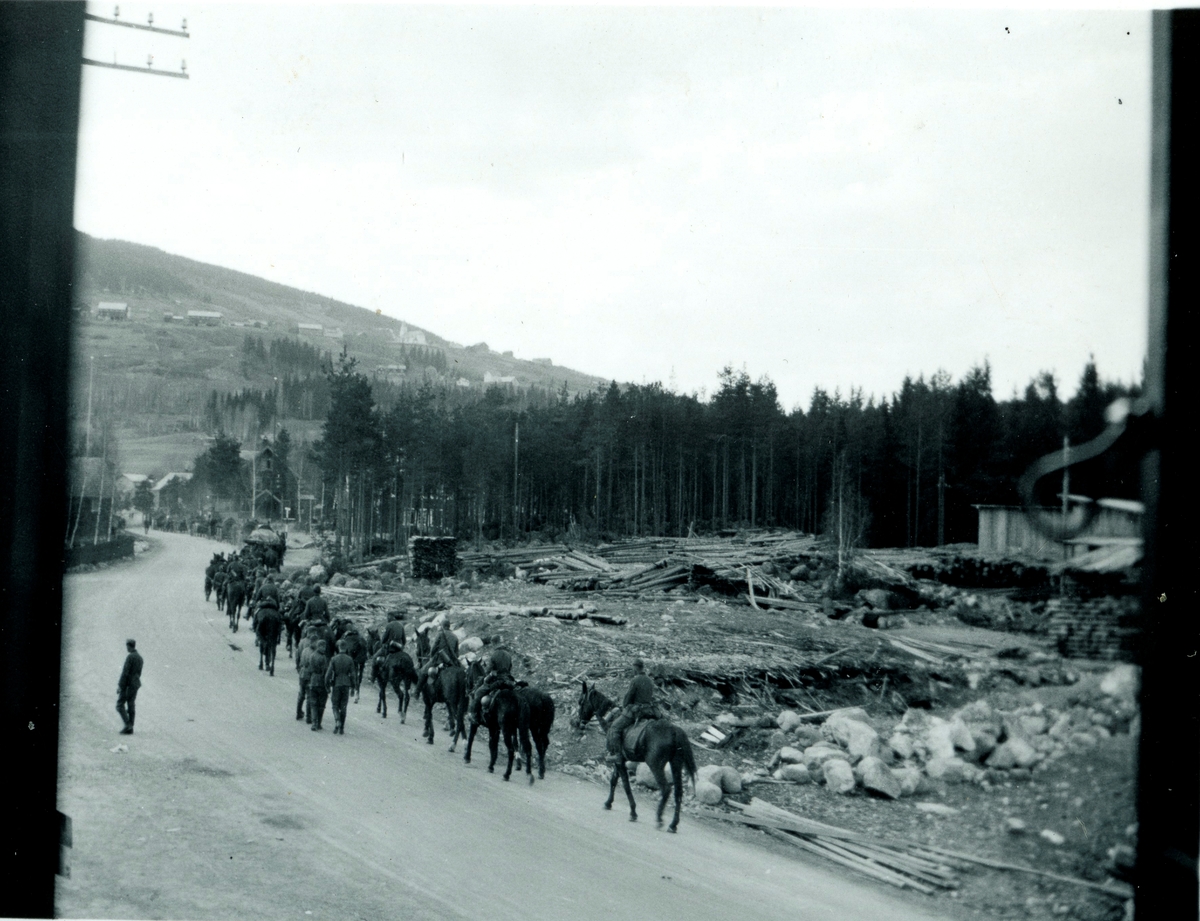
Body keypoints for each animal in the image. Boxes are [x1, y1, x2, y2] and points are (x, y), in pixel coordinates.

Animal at [578, 681, 700, 829]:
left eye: (581, 701)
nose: (579, 721)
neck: (611, 719)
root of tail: (675, 730)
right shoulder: (620, 759)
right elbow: (614, 780)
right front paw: (608, 803)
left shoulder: (618, 760)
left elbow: (625, 785)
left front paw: (633, 812)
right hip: (676, 763)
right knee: (678, 792)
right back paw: (673, 824)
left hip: (655, 765)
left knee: (666, 789)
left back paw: (659, 818)